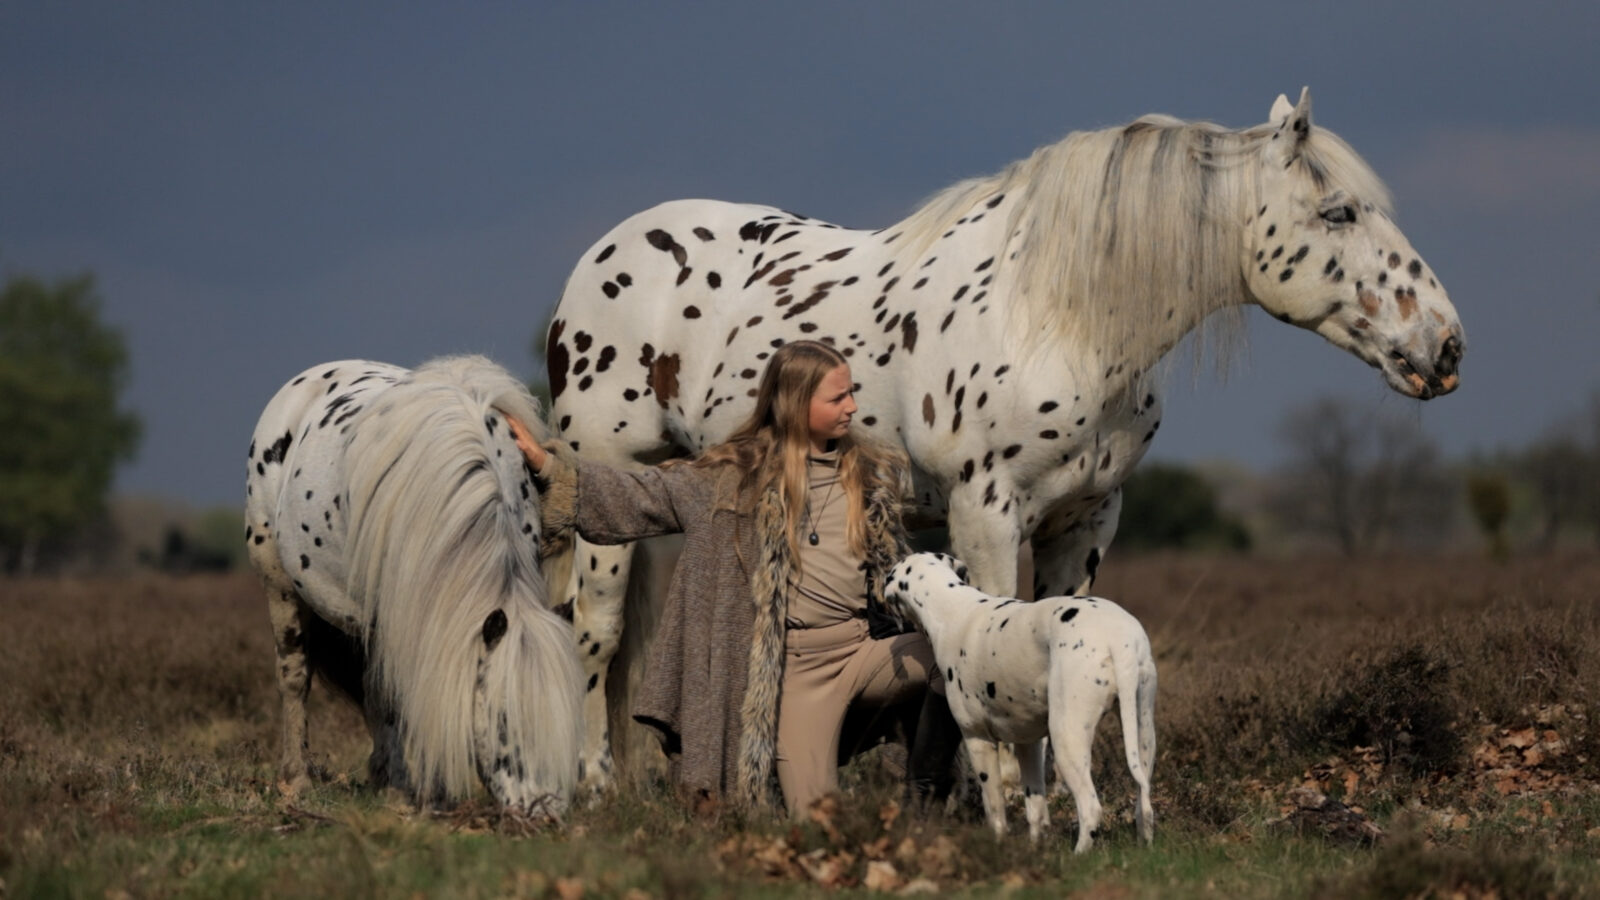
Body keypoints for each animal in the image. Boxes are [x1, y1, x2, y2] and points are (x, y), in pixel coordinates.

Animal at [245, 354, 583, 816]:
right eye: (503, 720)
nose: (543, 814)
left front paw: (414, 787)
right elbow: (395, 696)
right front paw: (404, 793)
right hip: (281, 587)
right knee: (296, 677)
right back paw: (297, 781)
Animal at [540, 88, 1466, 792]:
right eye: (1339, 210)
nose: (1447, 348)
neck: (1058, 313)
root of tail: (602, 257)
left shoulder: (1085, 521)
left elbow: (1051, 644)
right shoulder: (984, 514)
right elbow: (984, 638)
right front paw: (996, 800)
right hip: (608, 490)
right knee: (596, 638)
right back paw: (591, 791)